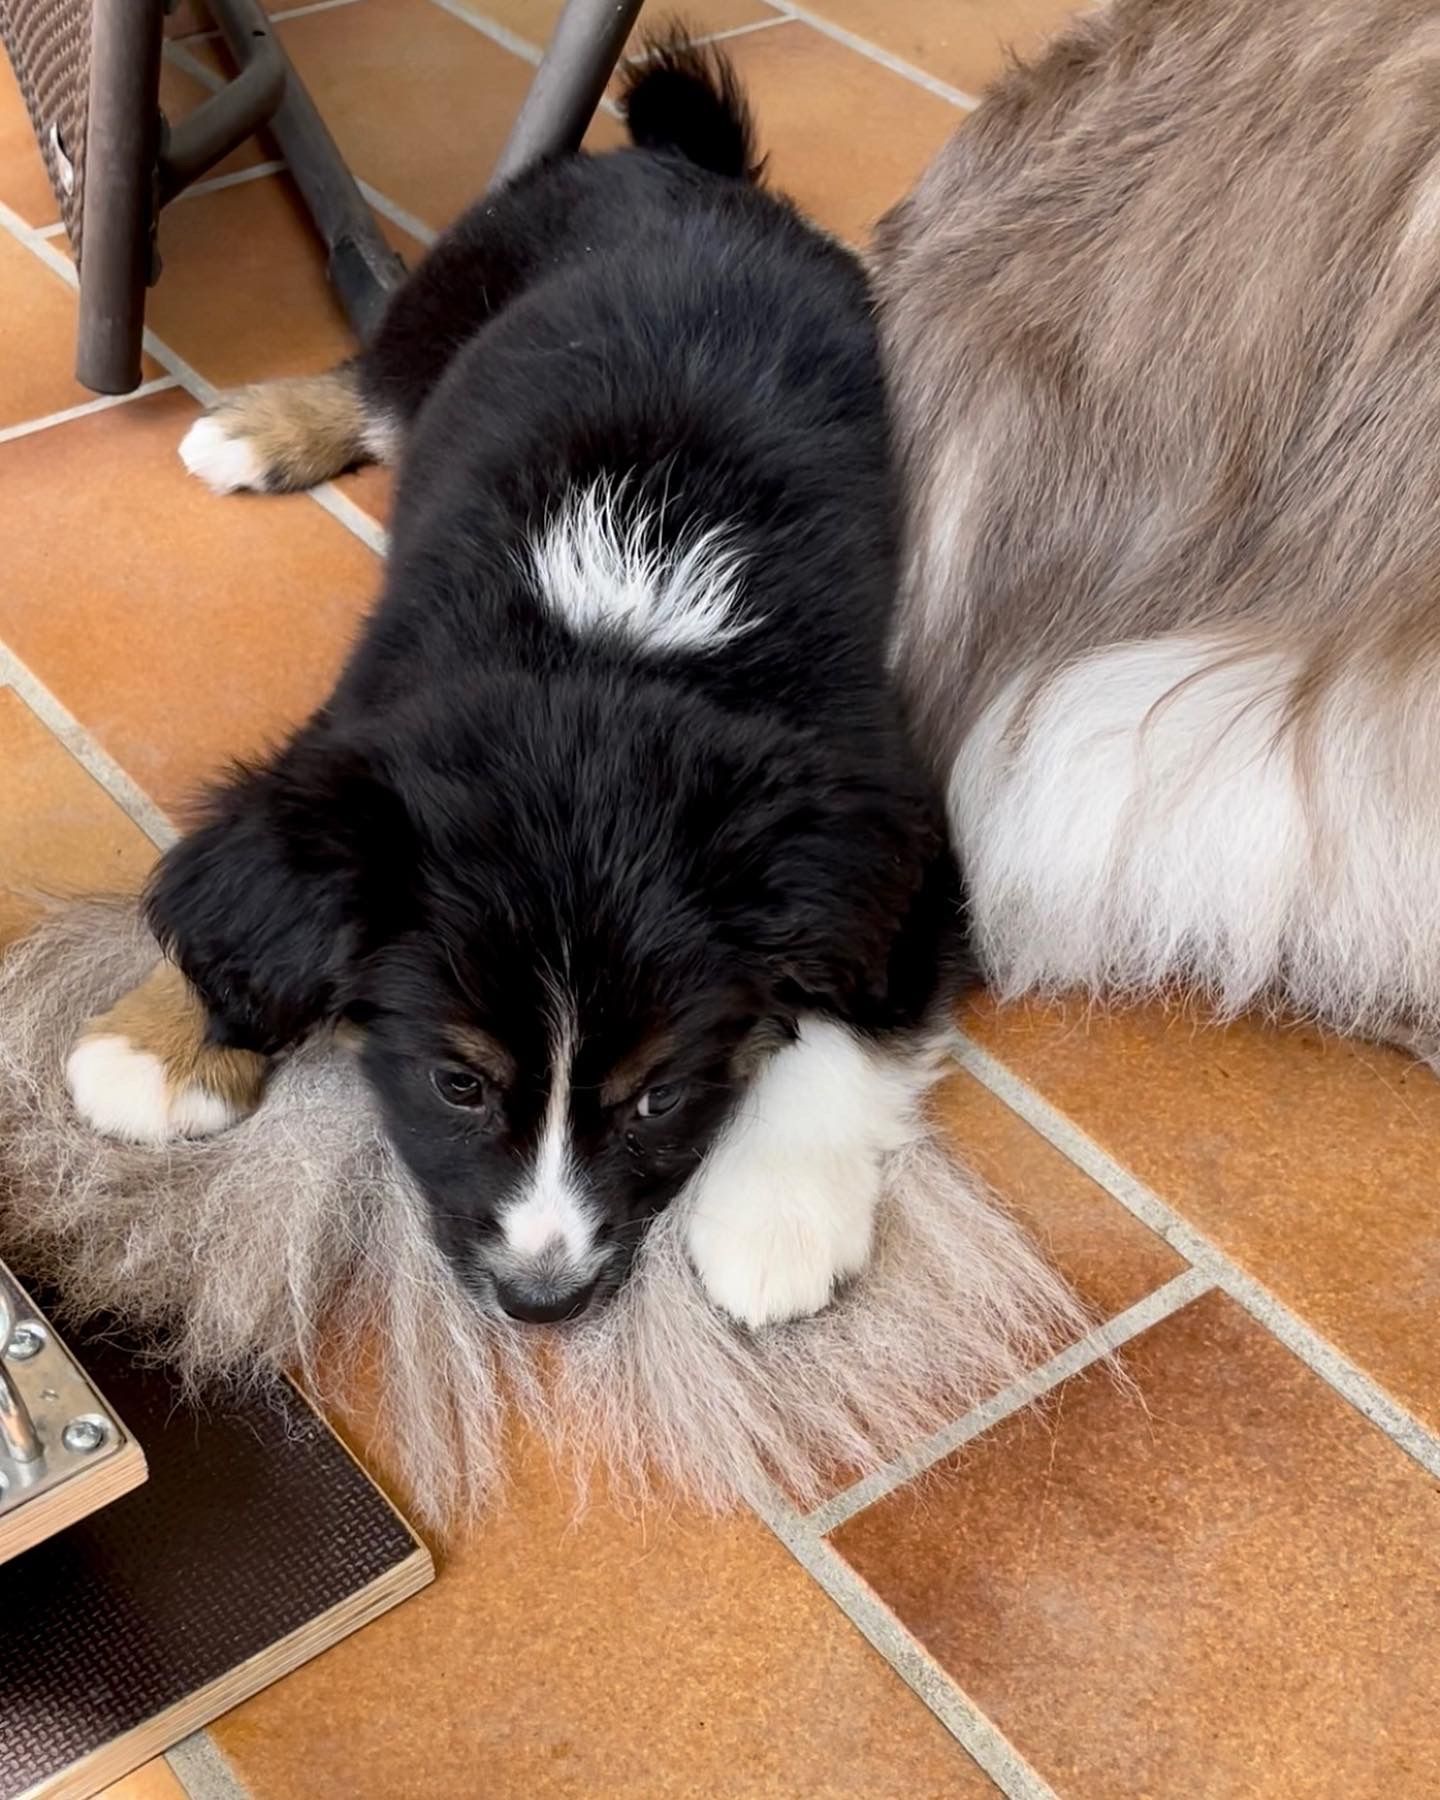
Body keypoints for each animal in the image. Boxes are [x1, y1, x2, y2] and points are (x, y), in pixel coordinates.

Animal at [65, 39, 965, 1330]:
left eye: (658, 1097)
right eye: (457, 1083)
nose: (545, 1300)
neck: (605, 653)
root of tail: (682, 168)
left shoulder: (893, 834)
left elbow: (854, 1019)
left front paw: (774, 1219)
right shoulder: (360, 723)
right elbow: (260, 883)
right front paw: (157, 1048)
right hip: (456, 284)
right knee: (376, 380)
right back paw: (258, 433)